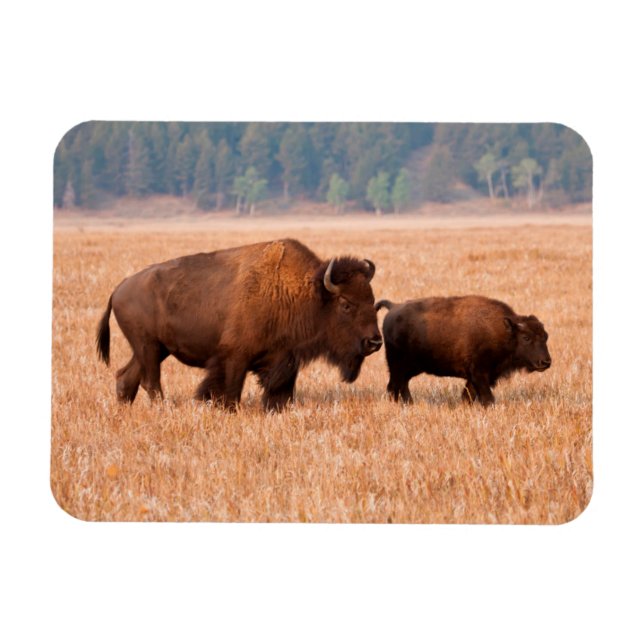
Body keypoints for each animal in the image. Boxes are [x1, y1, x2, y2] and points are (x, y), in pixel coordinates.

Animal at [96, 238, 383, 411]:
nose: (374, 341)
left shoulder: (286, 359)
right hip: (148, 347)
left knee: (127, 377)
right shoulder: (235, 358)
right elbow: (230, 392)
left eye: (372, 300)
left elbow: (282, 393)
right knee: (150, 381)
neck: (304, 293)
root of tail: (119, 289)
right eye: (346, 303)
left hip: (155, 349)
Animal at [376, 295, 551, 406]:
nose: (546, 362)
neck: (504, 331)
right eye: (526, 338)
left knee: (401, 385)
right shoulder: (479, 373)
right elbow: (487, 398)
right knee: (394, 386)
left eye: (546, 336)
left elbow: (469, 395)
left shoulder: (479, 377)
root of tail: (393, 307)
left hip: (408, 369)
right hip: (398, 366)